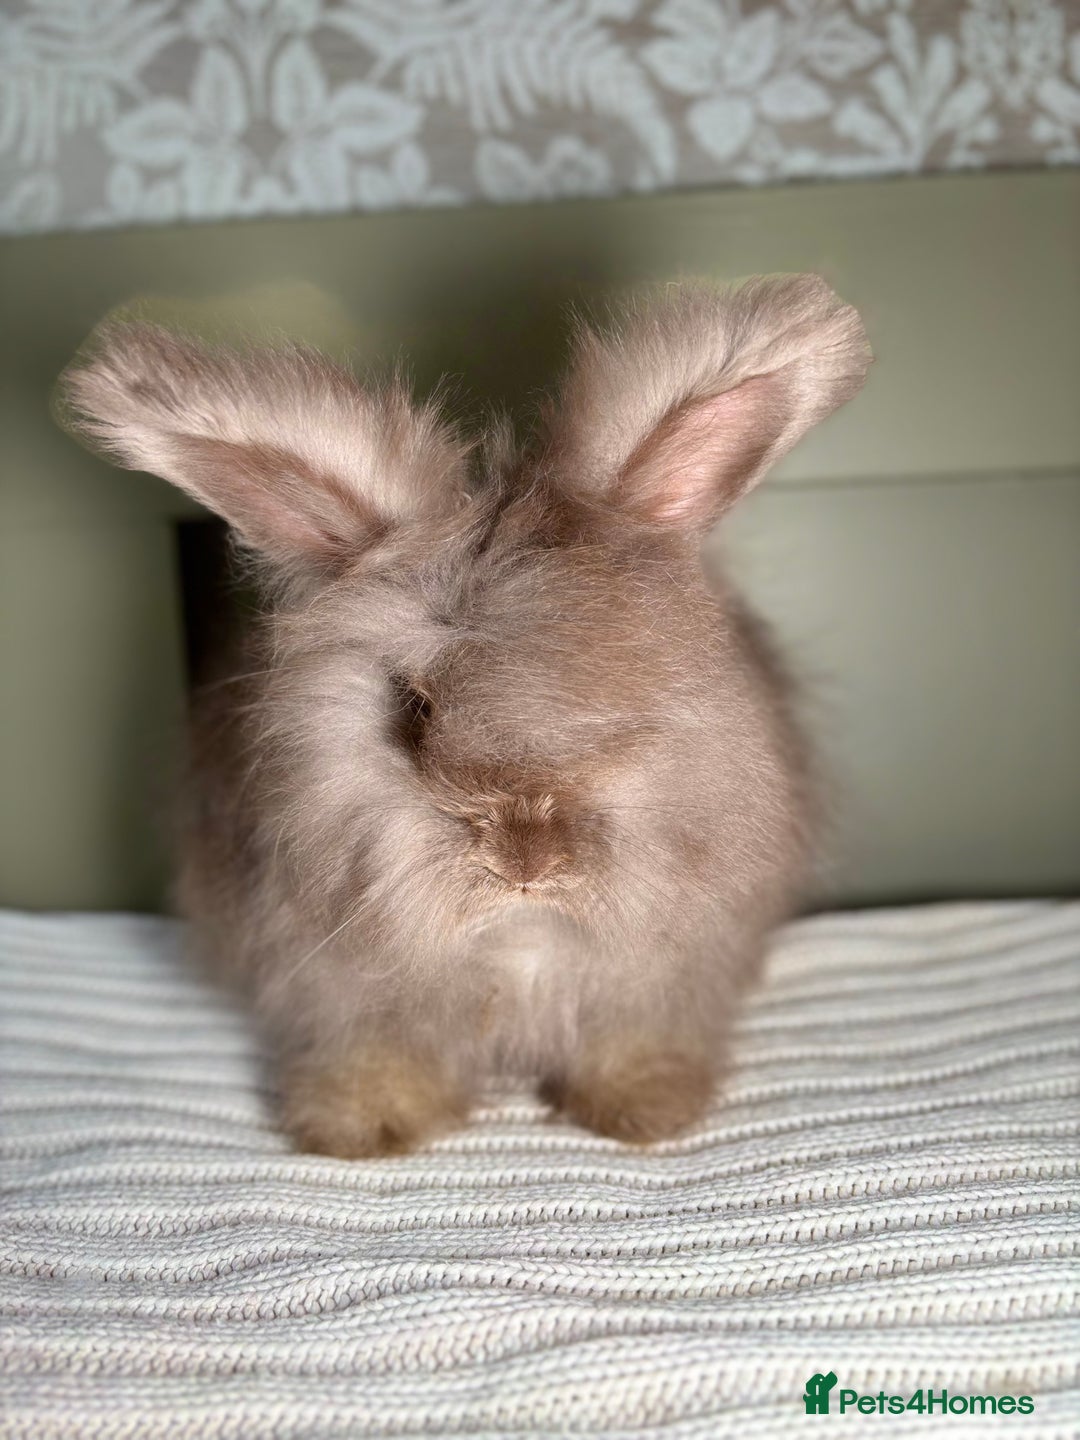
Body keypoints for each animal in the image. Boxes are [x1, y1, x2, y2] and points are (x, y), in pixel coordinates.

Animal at [60, 274, 871, 1158]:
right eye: (414, 710)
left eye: (631, 685)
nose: (527, 862)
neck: (519, 938)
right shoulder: (343, 989)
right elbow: (378, 1052)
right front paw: (361, 1129)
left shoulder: (654, 978)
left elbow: (631, 1042)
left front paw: (644, 1112)